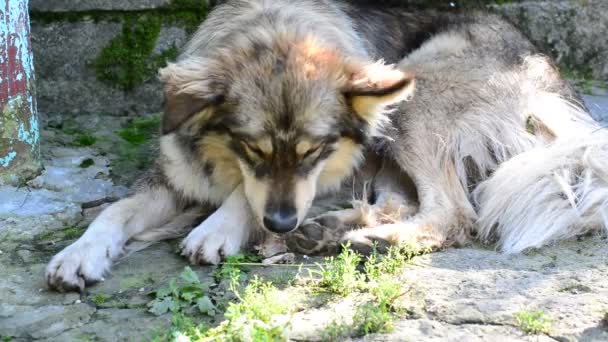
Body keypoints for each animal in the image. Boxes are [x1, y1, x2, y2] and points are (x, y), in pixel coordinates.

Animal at [44, 0, 608, 294]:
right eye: (253, 150)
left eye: (315, 152)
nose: (280, 224)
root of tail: (551, 76)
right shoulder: (175, 174)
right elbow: (115, 210)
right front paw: (79, 254)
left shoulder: (332, 165)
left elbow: (245, 198)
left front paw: (218, 227)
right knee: (403, 201)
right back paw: (331, 231)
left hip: (412, 96)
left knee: (454, 214)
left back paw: (366, 240)